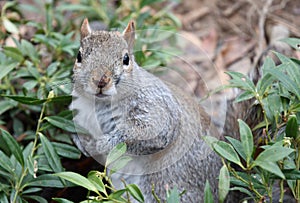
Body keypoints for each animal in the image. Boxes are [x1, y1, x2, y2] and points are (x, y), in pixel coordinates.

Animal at [70, 18, 225, 201]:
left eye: (126, 59)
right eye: (79, 56)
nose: (100, 81)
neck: (99, 104)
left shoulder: (156, 107)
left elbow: (147, 134)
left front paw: (100, 144)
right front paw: (80, 142)